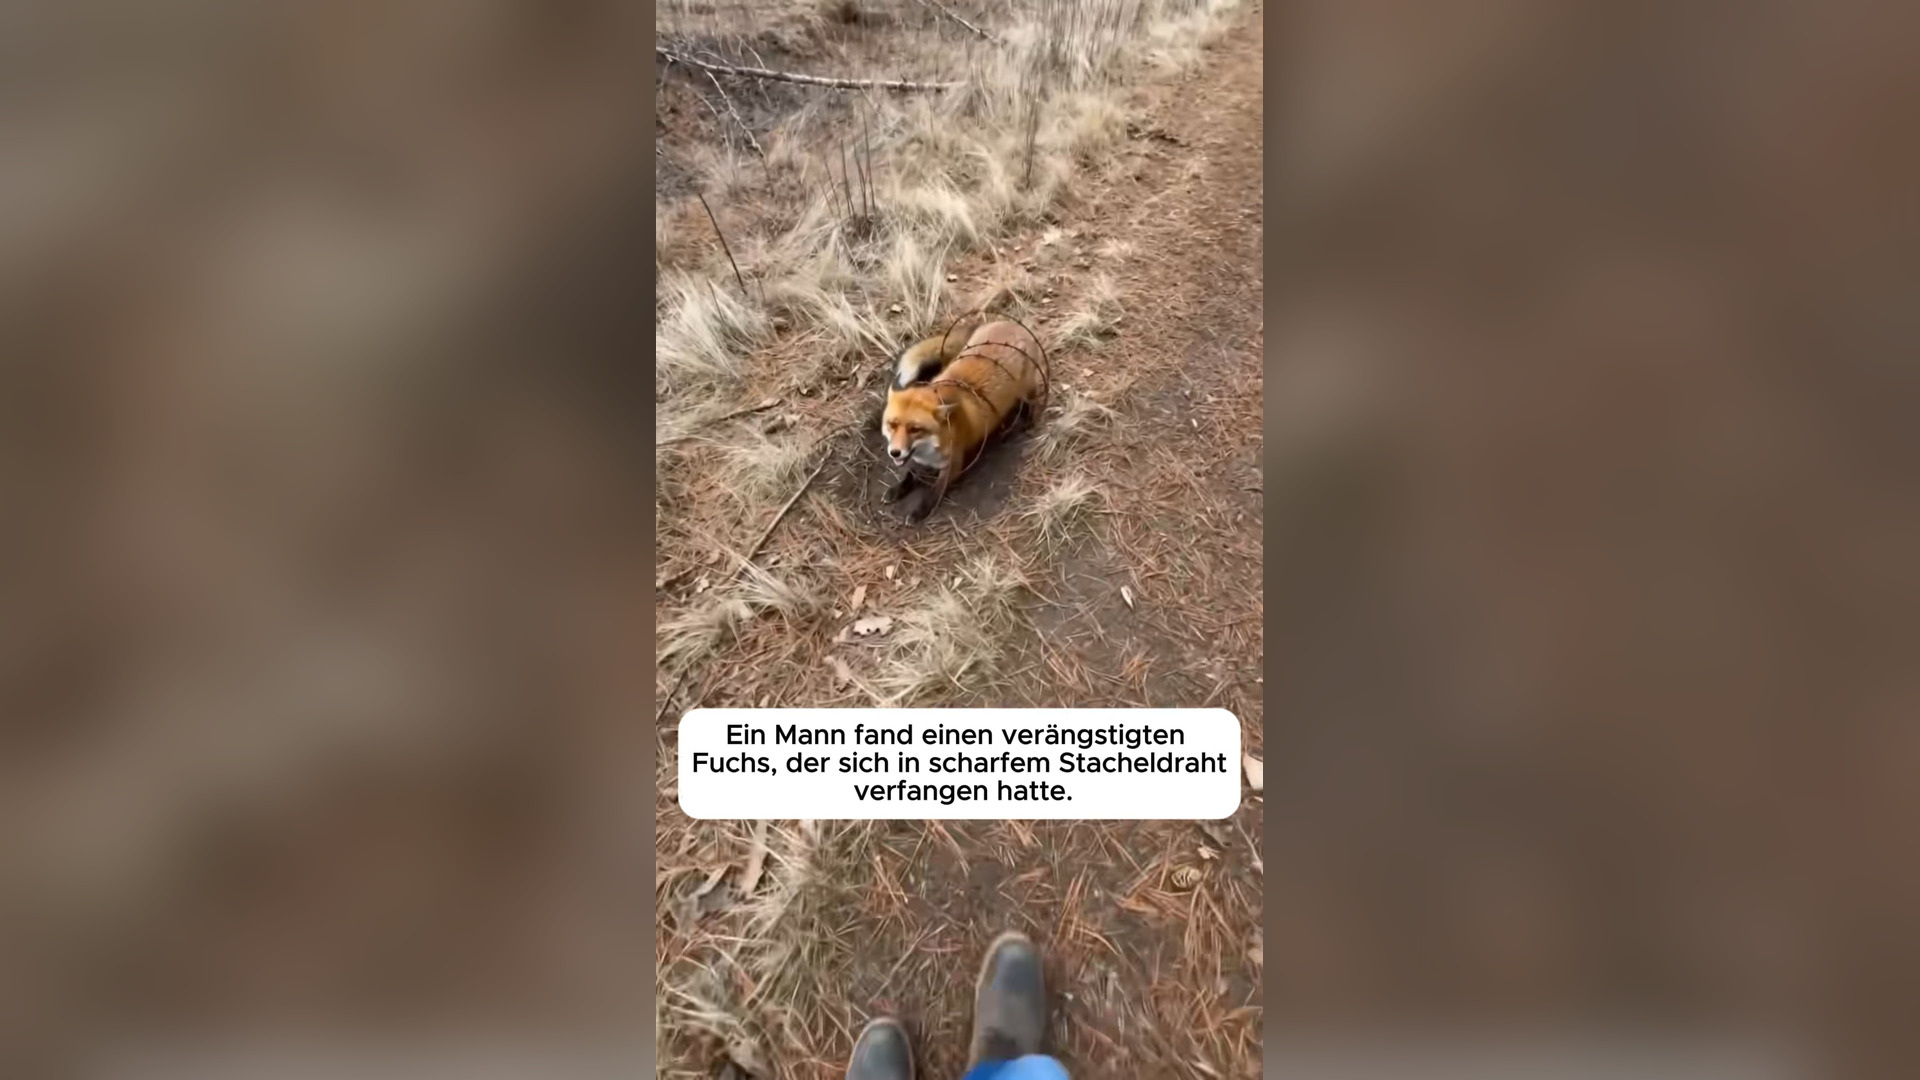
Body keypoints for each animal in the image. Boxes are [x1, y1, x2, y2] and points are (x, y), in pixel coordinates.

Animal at [880, 317, 1045, 523]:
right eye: (892, 425)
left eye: (915, 429)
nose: (895, 452)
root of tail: (1011, 323)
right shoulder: (921, 459)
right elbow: (911, 473)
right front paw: (898, 489)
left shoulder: (953, 464)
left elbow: (934, 492)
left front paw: (920, 511)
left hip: (1026, 388)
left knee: (1033, 399)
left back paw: (1027, 419)